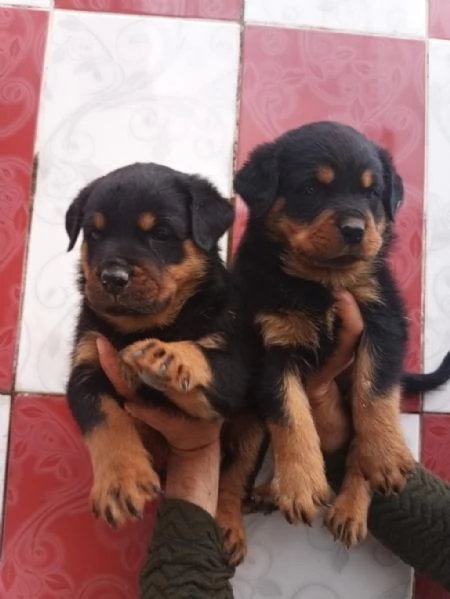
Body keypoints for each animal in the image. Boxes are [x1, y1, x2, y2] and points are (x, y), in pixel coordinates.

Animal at [64, 162, 251, 528]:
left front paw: (164, 355)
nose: (113, 278)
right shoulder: (86, 368)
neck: (144, 325)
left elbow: (203, 361)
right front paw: (120, 482)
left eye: (162, 233)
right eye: (94, 234)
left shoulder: (233, 370)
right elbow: (106, 420)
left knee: (233, 475)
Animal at [220, 120, 450, 552]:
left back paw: (349, 508)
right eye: (311, 188)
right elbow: (290, 414)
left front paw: (383, 457)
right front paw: (299, 485)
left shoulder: (384, 323)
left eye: (371, 192)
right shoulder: (269, 345)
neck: (321, 283)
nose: (355, 230)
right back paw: (240, 514)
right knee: (235, 467)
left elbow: (373, 395)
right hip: (248, 419)